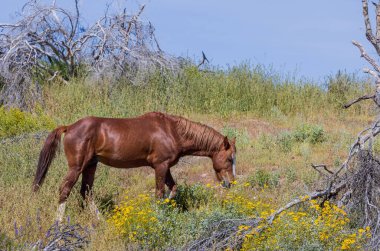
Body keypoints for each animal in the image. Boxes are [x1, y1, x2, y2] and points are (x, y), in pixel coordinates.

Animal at [32, 112, 236, 220]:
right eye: (229, 159)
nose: (230, 183)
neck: (172, 130)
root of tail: (69, 127)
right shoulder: (160, 166)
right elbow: (159, 193)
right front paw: (158, 214)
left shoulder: (166, 167)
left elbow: (173, 189)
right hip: (77, 167)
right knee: (65, 189)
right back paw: (59, 223)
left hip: (90, 165)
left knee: (86, 192)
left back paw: (100, 220)